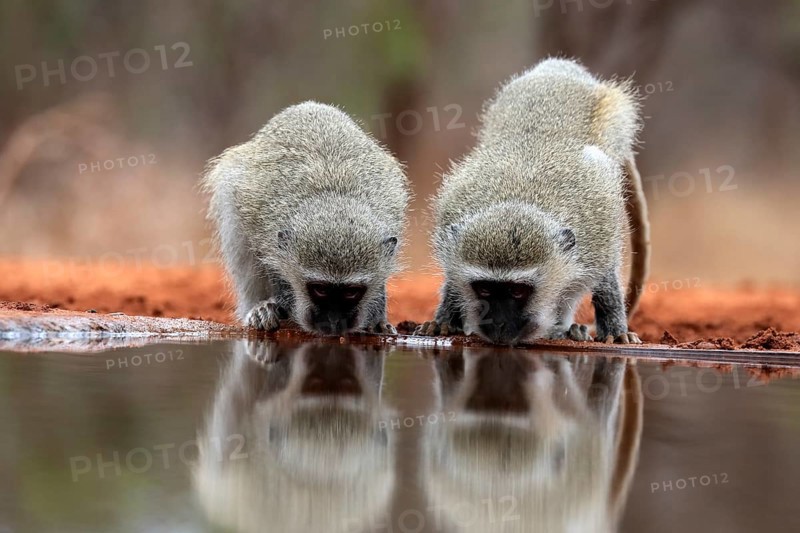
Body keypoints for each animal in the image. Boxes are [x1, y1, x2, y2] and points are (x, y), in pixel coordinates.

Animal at [202, 102, 410, 335]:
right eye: (319, 289)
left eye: (351, 292)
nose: (333, 324)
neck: (333, 197)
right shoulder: (258, 220)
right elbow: (269, 263)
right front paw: (277, 304)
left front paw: (377, 319)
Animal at [416, 58, 650, 345]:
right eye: (484, 289)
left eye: (518, 292)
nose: (499, 324)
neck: (519, 200)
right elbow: (452, 277)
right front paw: (445, 320)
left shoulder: (598, 232)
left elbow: (605, 277)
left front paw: (615, 328)